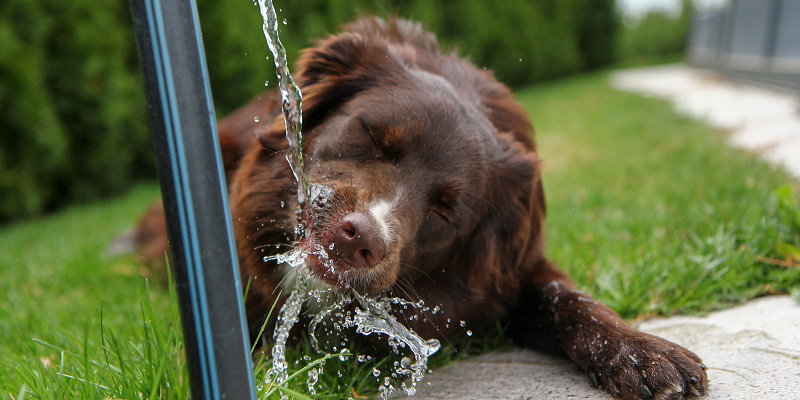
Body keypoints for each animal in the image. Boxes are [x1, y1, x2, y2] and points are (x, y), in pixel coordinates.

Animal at [134, 16, 708, 400]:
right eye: (371, 137)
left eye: (445, 212)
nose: (361, 239)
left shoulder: (515, 271)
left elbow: (570, 298)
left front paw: (643, 352)